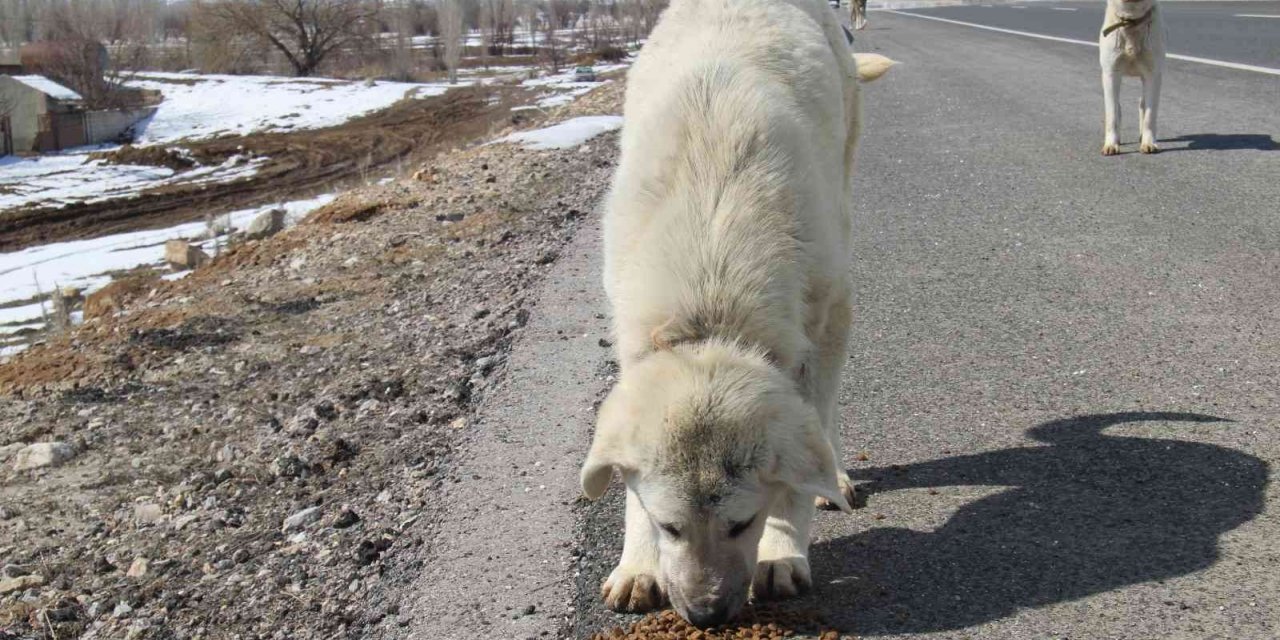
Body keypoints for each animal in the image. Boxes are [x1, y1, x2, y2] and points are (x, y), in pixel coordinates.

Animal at [581, 0, 890, 627]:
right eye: (670, 526)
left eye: (741, 523)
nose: (705, 615)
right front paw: (638, 563)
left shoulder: (827, 317)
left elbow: (808, 443)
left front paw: (783, 551)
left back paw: (836, 477)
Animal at [1100, 0, 1172, 154]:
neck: (1131, 20)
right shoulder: (1111, 73)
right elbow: (1112, 113)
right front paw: (1111, 144)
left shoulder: (1153, 75)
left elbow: (1150, 115)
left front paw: (1148, 142)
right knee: (1118, 107)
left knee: (1142, 104)